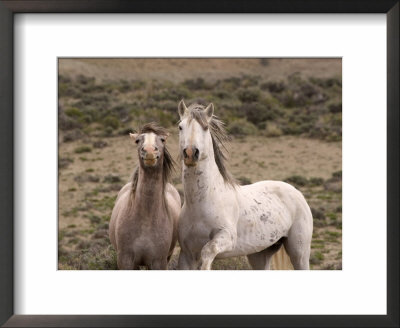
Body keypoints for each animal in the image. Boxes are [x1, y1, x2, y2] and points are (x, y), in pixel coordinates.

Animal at [108, 123, 180, 270]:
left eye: (162, 140)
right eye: (137, 140)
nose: (149, 151)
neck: (145, 220)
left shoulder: (159, 262)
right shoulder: (125, 260)